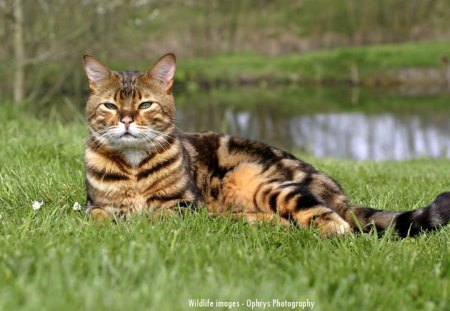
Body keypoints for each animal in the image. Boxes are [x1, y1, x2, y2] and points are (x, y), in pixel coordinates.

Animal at [82, 53, 450, 238]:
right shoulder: (94, 204)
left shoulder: (184, 205)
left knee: (333, 221)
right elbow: (97, 214)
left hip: (261, 181)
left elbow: (157, 217)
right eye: (111, 106)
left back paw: (331, 231)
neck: (133, 167)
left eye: (145, 105)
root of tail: (340, 195)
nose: (126, 120)